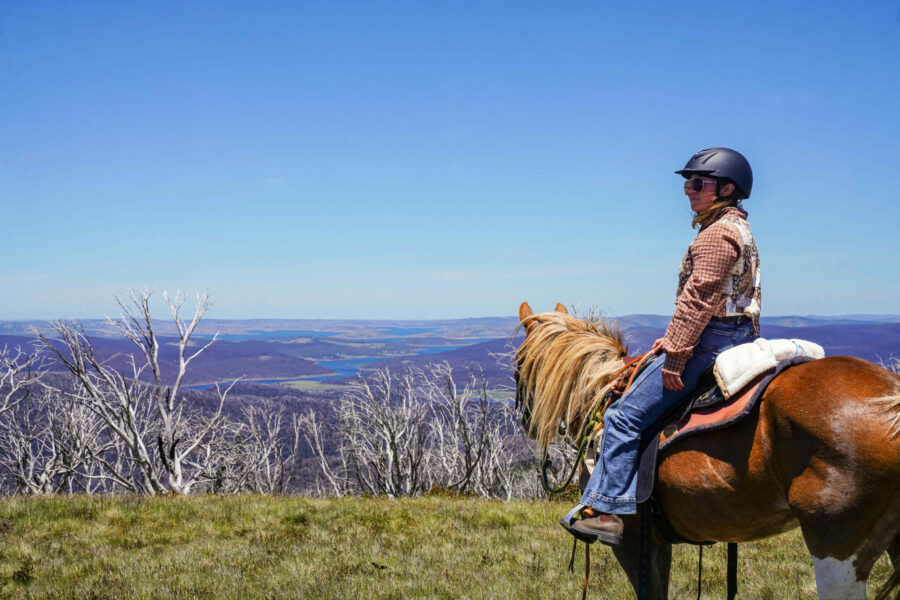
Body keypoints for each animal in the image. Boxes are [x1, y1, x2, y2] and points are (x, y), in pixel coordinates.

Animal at [515, 301, 900, 600]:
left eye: (518, 362)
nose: (528, 423)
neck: (602, 393)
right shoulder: (657, 538)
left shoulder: (631, 538)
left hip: (835, 548)